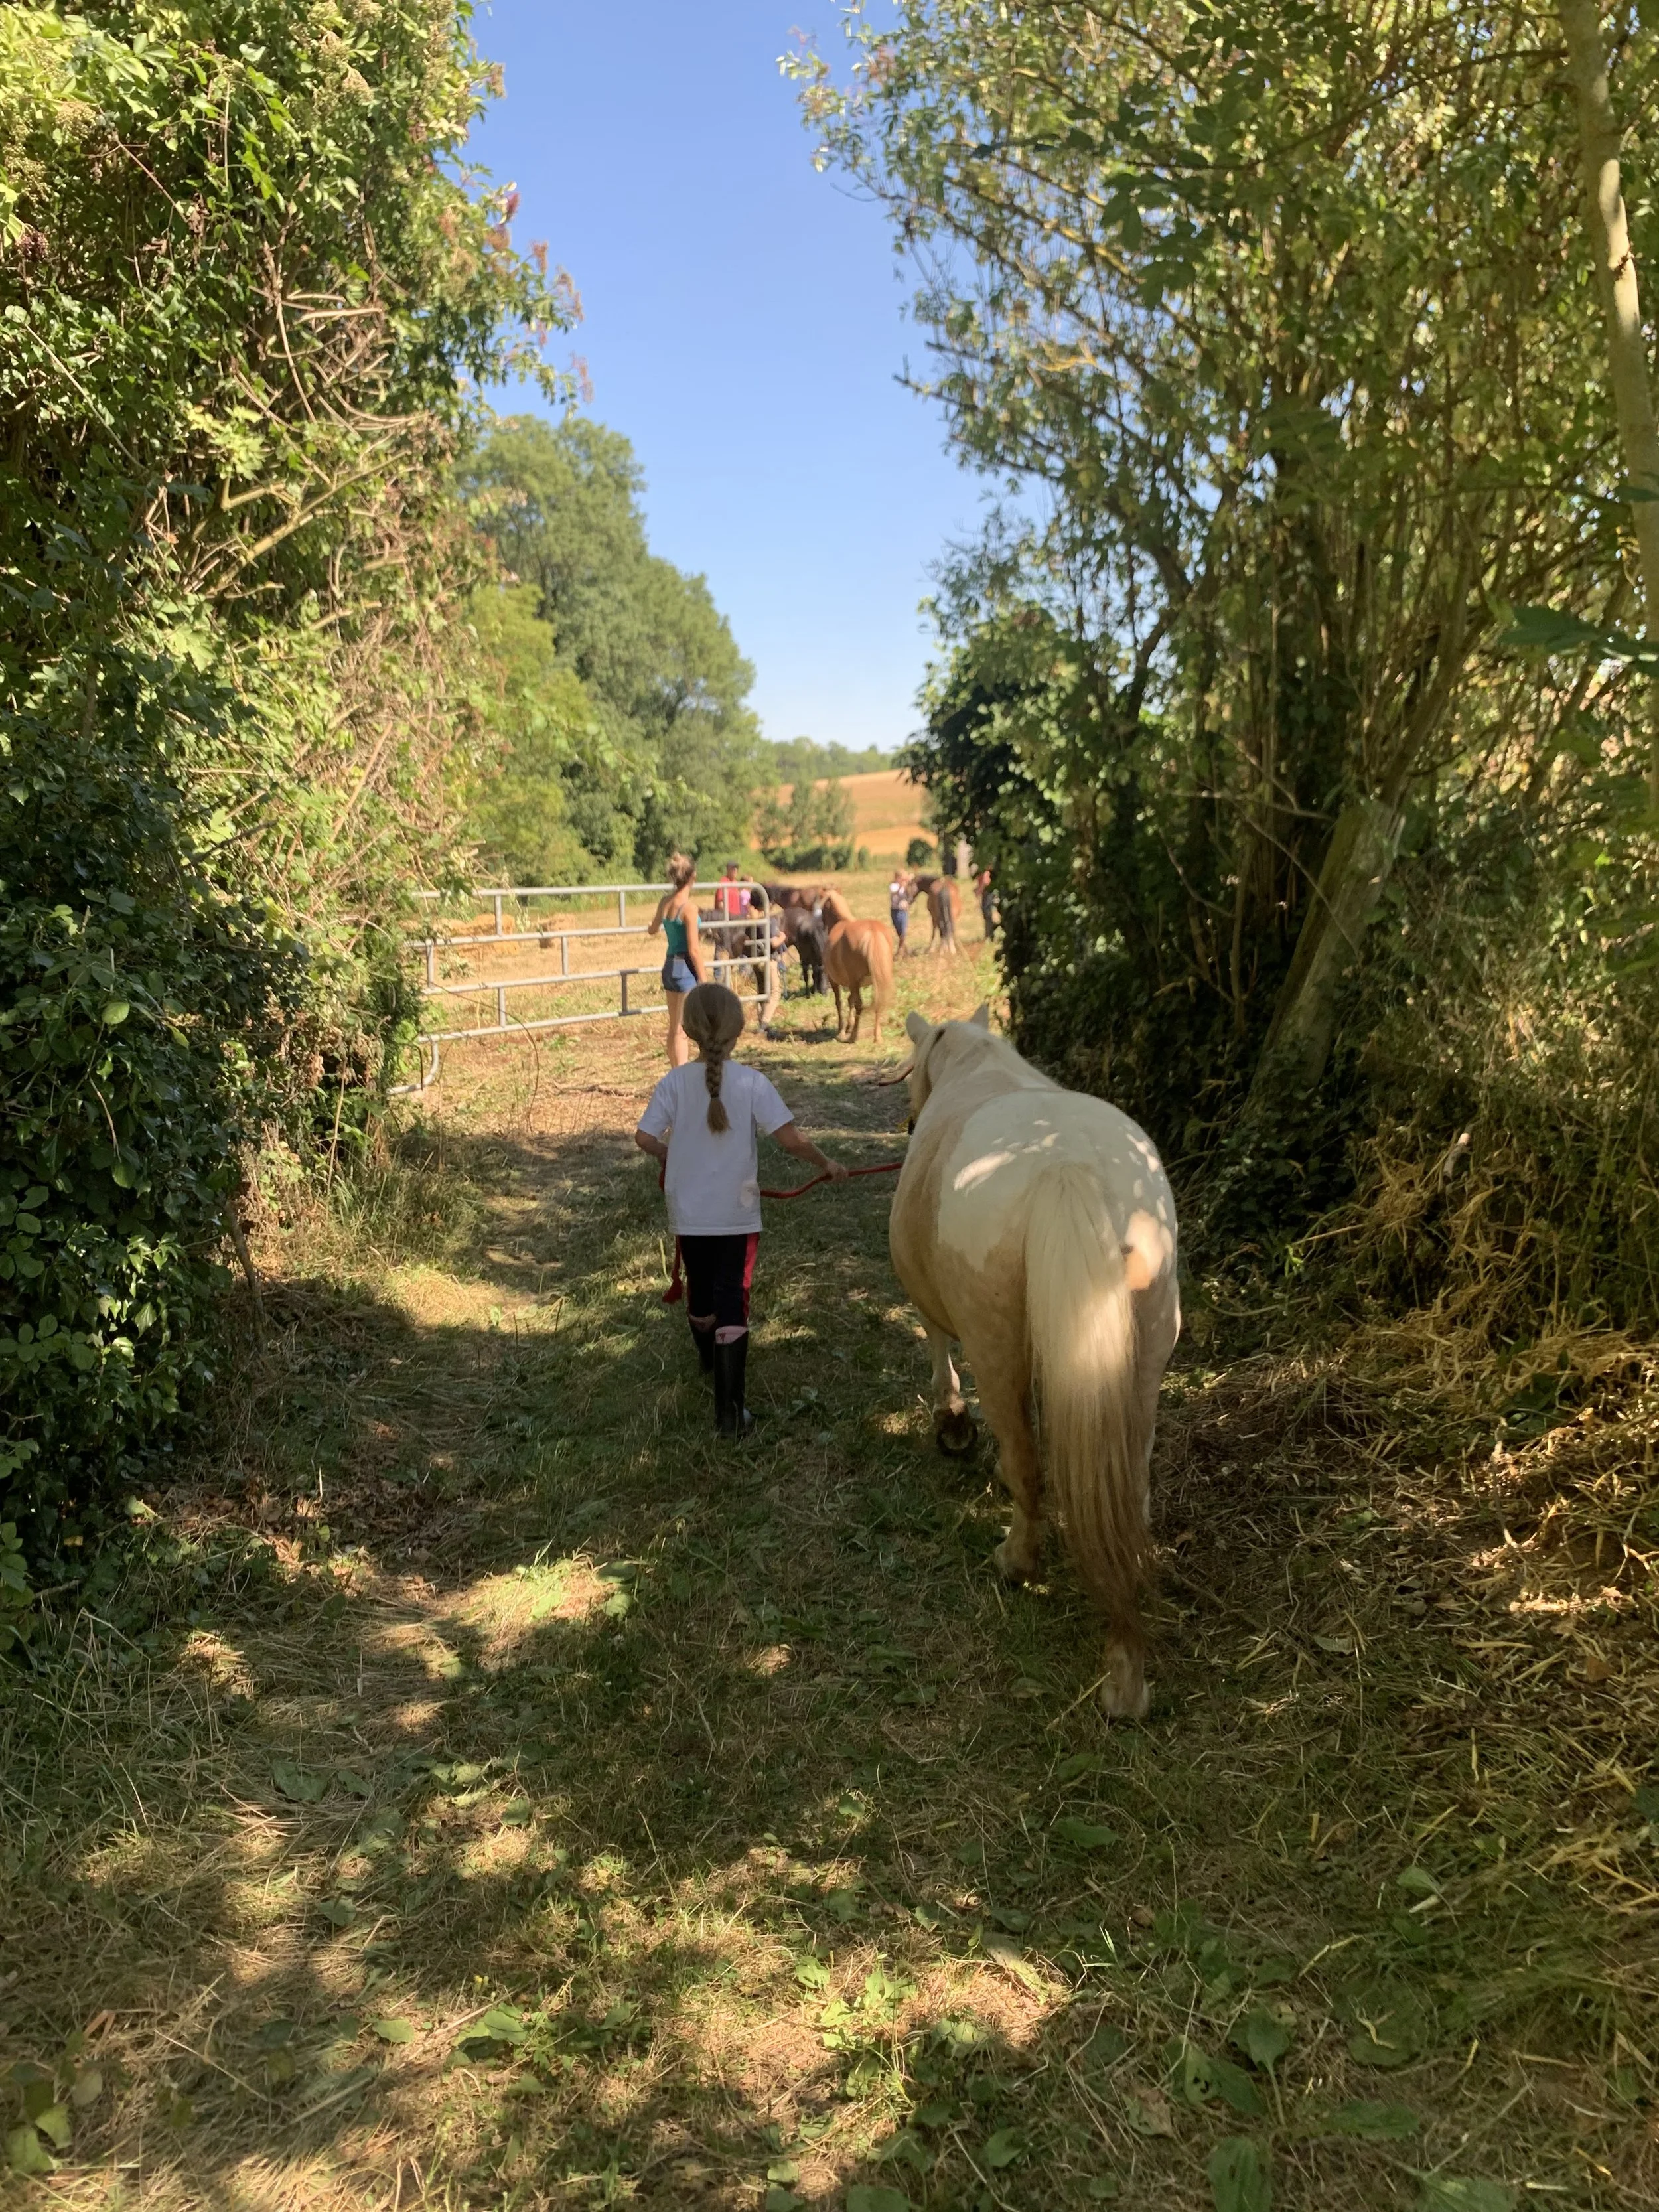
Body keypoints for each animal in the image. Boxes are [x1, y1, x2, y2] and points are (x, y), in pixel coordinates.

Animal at [887, 1007, 1179, 1718]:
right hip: (1143, 1366)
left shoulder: (936, 1311)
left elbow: (937, 1349)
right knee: (1128, 1492)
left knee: (1025, 1460)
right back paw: (1126, 1677)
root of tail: (1066, 1167)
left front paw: (952, 1423)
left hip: (998, 1354)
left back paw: (1016, 1561)